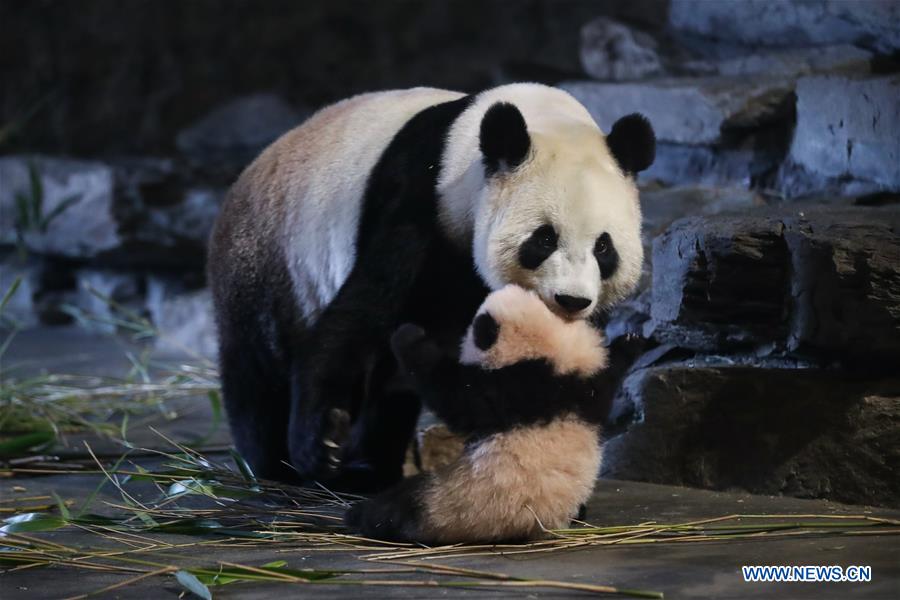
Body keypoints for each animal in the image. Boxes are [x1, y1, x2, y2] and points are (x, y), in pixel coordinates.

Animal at [206, 82, 652, 490]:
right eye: (544, 239)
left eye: (604, 247)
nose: (571, 300)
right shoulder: (416, 201)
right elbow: (357, 314)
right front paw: (320, 443)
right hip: (266, 263)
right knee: (256, 369)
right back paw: (278, 465)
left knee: (389, 385)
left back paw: (372, 463)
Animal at [348, 284, 608, 544]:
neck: (552, 358)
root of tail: (536, 524)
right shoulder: (586, 383)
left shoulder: (510, 389)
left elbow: (452, 395)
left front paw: (408, 335)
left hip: (463, 502)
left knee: (400, 508)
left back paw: (362, 515)